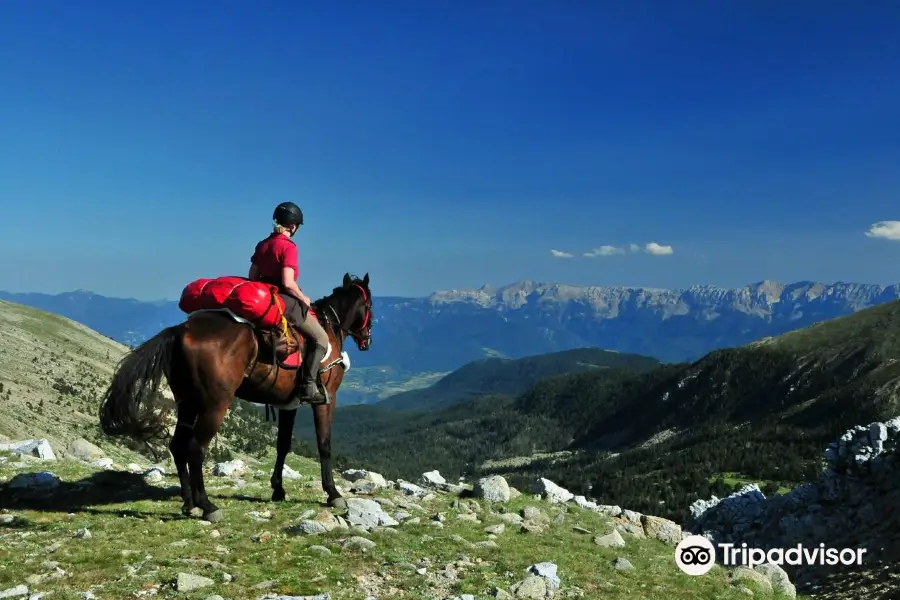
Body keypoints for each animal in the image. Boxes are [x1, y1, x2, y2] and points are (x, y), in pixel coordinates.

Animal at [95, 272, 370, 520]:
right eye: (369, 306)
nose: (367, 339)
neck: (329, 329)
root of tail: (180, 331)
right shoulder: (326, 399)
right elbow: (324, 444)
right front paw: (333, 493)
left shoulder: (287, 404)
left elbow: (283, 445)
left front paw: (278, 489)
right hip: (215, 404)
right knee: (196, 448)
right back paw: (207, 506)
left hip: (188, 402)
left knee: (178, 446)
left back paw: (189, 503)